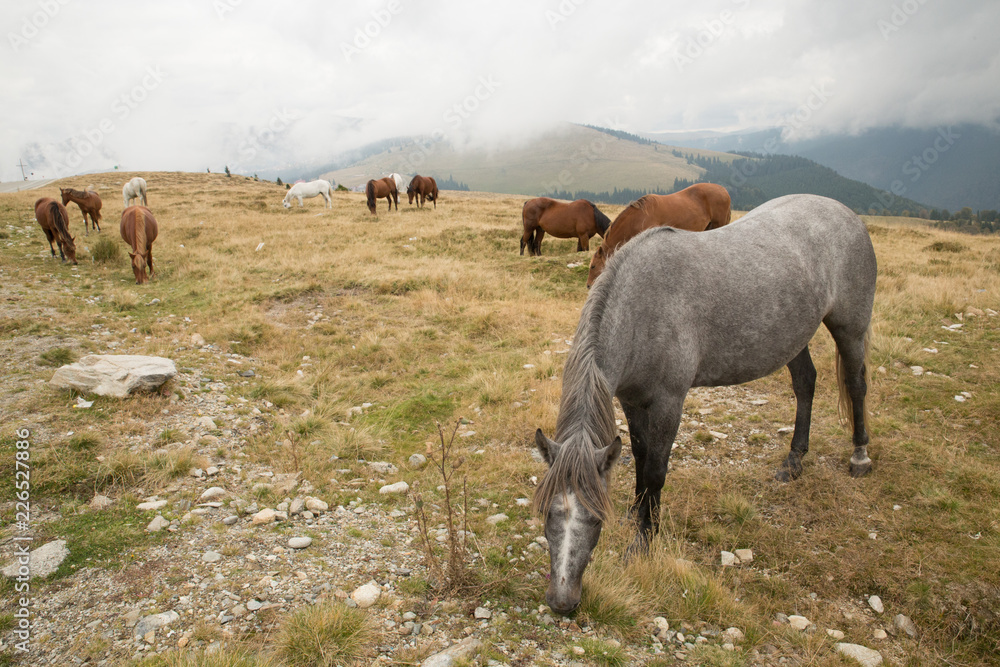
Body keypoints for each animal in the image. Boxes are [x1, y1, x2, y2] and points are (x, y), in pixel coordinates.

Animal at [532, 194, 877, 615]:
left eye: (596, 519)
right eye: (546, 512)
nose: (561, 601)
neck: (641, 309)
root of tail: (846, 214)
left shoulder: (668, 401)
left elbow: (655, 470)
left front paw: (644, 541)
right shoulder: (631, 400)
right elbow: (640, 457)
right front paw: (639, 511)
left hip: (850, 327)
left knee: (856, 385)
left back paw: (859, 455)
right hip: (793, 337)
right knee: (805, 384)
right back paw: (793, 461)